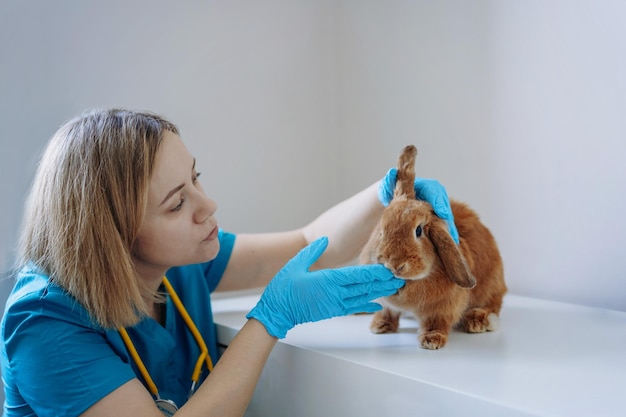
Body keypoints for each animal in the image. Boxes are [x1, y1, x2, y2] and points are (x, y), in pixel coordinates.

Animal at [358, 145, 504, 350]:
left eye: (419, 230)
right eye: (382, 229)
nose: (395, 265)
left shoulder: (442, 308)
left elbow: (437, 322)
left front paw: (431, 340)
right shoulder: (388, 304)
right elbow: (388, 311)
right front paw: (379, 325)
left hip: (491, 285)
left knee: (494, 305)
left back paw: (478, 321)